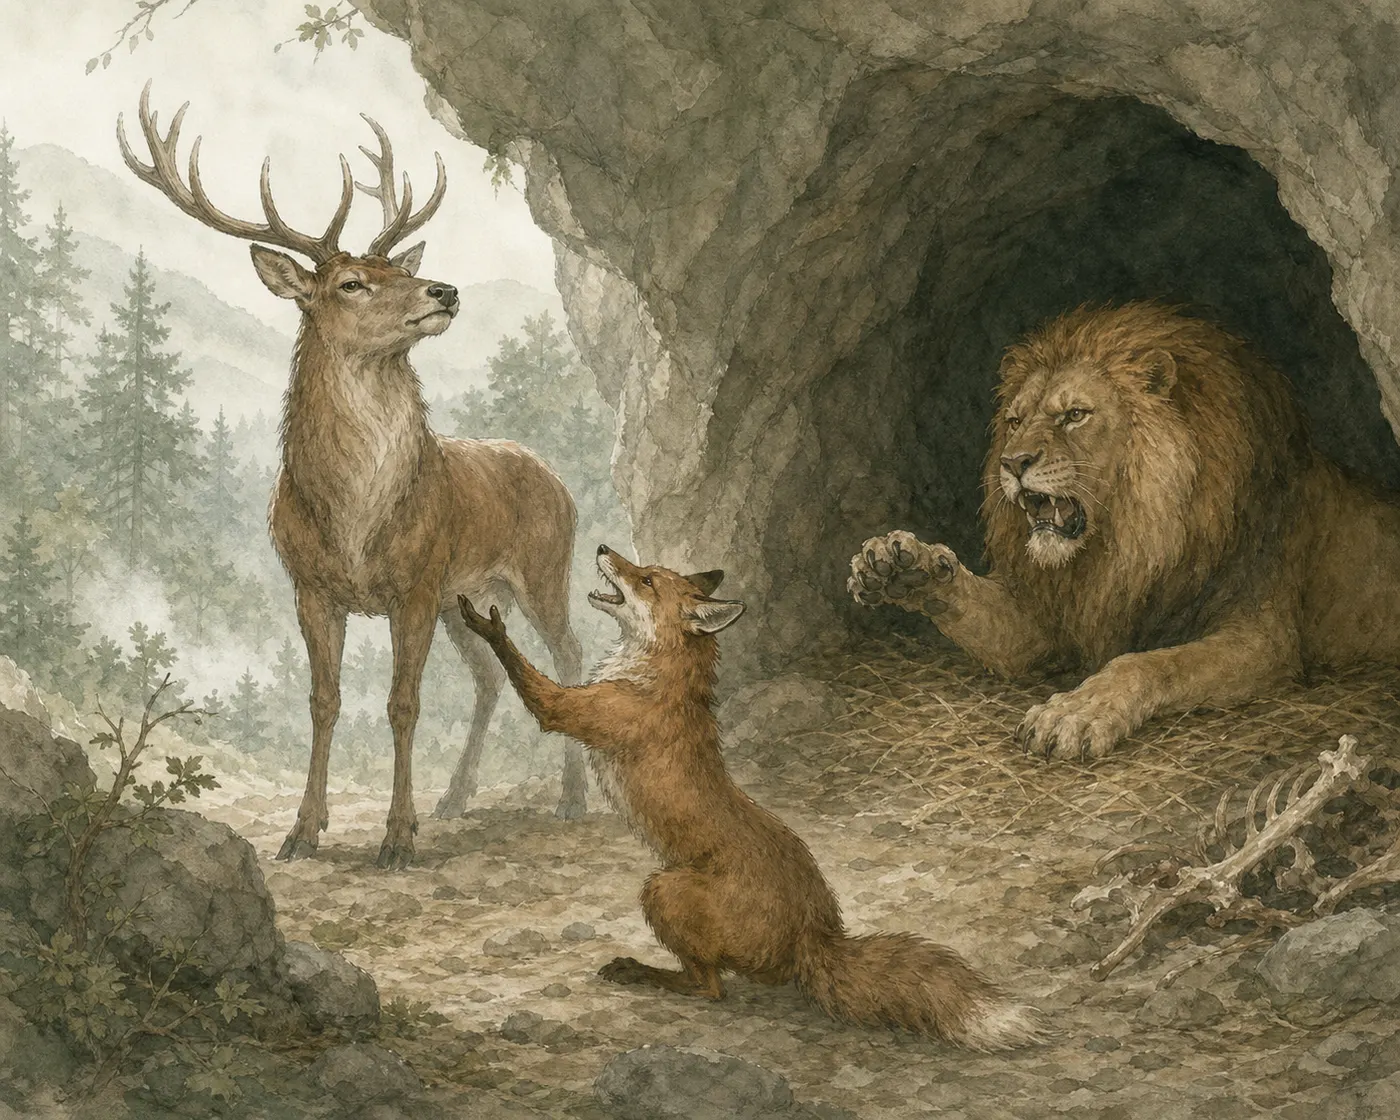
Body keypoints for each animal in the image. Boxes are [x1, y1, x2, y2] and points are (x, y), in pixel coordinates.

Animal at [117, 83, 587, 868]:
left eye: (404, 270)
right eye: (352, 282)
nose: (443, 290)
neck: (355, 521)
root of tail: (556, 477)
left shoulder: (417, 582)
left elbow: (403, 704)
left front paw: (396, 839)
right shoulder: (312, 585)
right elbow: (324, 701)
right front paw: (303, 831)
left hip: (541, 570)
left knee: (572, 655)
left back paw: (573, 799)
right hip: (473, 596)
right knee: (492, 674)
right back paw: (454, 799)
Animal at [455, 545, 1045, 1049]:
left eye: (646, 580)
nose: (602, 549)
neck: (654, 673)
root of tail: (815, 932)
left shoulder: (569, 711)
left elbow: (520, 667)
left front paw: (487, 623)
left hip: (661, 888)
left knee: (710, 986)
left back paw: (639, 971)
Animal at [849, 301, 1400, 759]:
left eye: (1075, 414)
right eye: (1014, 420)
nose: (1013, 462)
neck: (1128, 543)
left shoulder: (1265, 638)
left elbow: (1148, 663)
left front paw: (1073, 715)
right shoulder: (1048, 618)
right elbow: (981, 611)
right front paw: (900, 566)